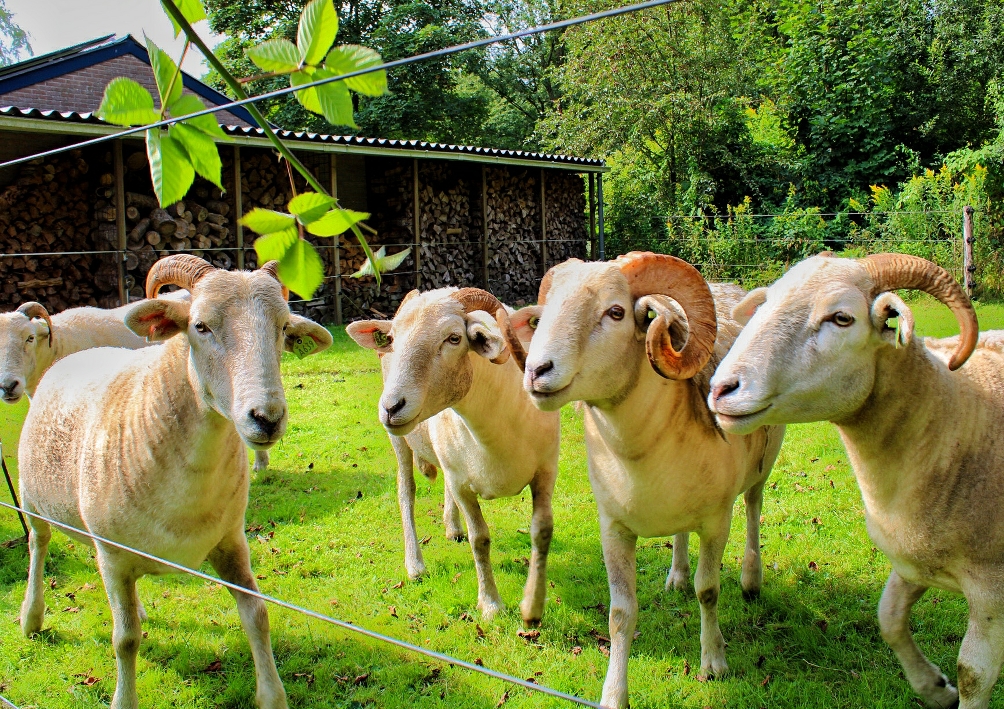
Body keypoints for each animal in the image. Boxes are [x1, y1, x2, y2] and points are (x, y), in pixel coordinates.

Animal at [349, 285, 562, 618]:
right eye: (393, 338)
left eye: (453, 338)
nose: (391, 407)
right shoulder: (463, 484)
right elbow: (480, 539)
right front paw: (491, 605)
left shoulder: (545, 472)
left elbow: (541, 532)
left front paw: (533, 605)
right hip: (400, 441)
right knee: (406, 491)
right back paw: (415, 565)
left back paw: (452, 528)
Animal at [510, 251, 783, 702]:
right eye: (544, 314)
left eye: (616, 312)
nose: (536, 370)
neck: (639, 450)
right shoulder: (613, 527)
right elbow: (621, 613)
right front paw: (613, 694)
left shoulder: (716, 521)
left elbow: (709, 590)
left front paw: (714, 662)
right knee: (681, 534)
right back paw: (677, 575)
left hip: (762, 468)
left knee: (754, 509)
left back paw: (751, 579)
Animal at [710, 253, 1003, 706]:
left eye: (842, 318)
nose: (722, 388)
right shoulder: (911, 562)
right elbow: (889, 620)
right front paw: (935, 688)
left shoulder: (990, 589)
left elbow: (974, 674)